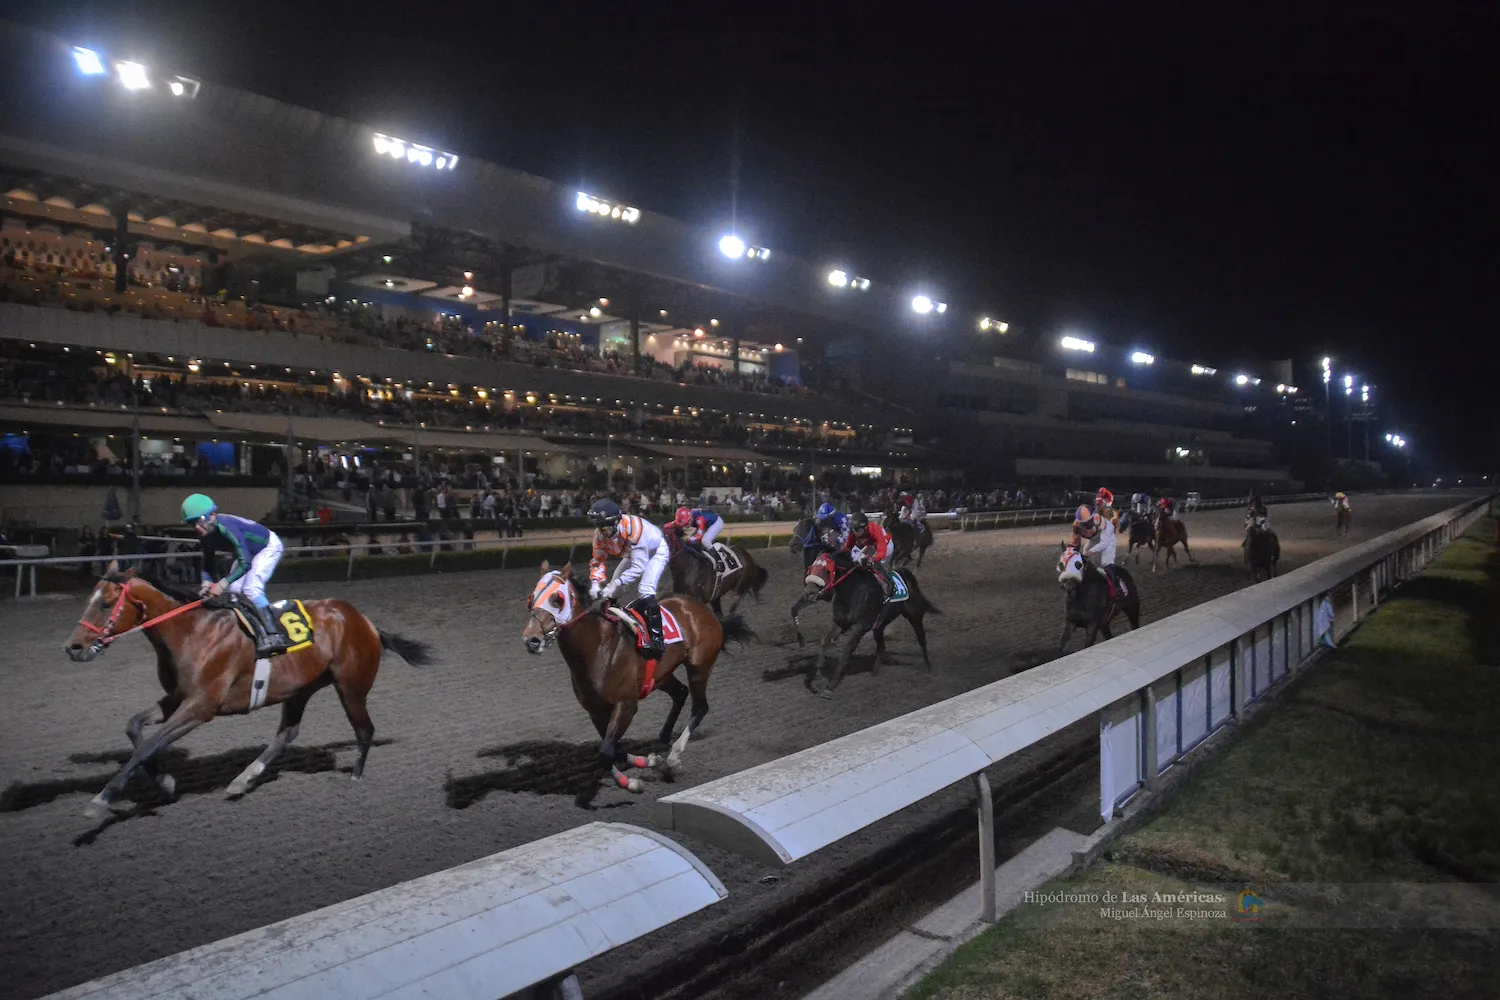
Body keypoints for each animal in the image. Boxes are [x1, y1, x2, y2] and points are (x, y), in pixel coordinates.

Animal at [62, 563, 432, 821]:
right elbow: (135, 728)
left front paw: (101, 800)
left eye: (107, 603)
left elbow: (147, 746)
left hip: (351, 687)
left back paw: (355, 777)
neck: (193, 632)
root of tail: (364, 621)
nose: (73, 648)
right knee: (287, 733)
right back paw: (243, 779)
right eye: (90, 600)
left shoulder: (200, 707)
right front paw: (164, 782)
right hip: (300, 688)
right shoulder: (178, 698)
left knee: (365, 730)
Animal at [522, 563, 756, 803]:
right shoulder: (595, 710)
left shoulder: (626, 705)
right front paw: (650, 761)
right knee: (680, 693)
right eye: (531, 598)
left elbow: (606, 753)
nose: (532, 640)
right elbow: (612, 749)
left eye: (557, 599)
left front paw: (633, 783)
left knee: (700, 707)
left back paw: (673, 757)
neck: (597, 648)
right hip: (661, 675)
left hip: (699, 668)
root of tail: (705, 611)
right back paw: (663, 740)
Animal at [786, 551, 936, 701]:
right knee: (881, 646)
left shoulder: (860, 626)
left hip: (914, 615)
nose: (808, 593)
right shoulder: (839, 622)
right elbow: (825, 641)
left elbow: (847, 649)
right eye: (811, 568)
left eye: (827, 570)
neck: (852, 592)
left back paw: (928, 666)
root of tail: (906, 574)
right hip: (880, 624)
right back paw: (875, 671)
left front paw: (830, 687)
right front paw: (817, 679)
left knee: (921, 638)